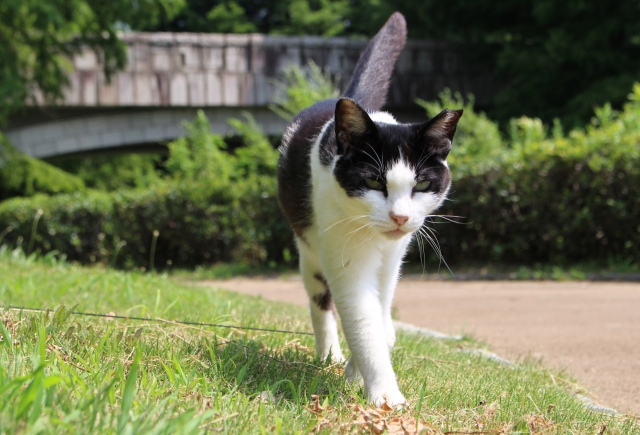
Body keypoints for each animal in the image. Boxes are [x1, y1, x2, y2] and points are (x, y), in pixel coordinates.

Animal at [278, 13, 462, 408]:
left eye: (421, 185)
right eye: (375, 181)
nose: (400, 217)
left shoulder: (393, 259)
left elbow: (380, 319)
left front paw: (356, 373)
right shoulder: (343, 252)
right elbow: (363, 322)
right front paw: (386, 395)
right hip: (310, 250)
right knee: (320, 300)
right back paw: (329, 354)